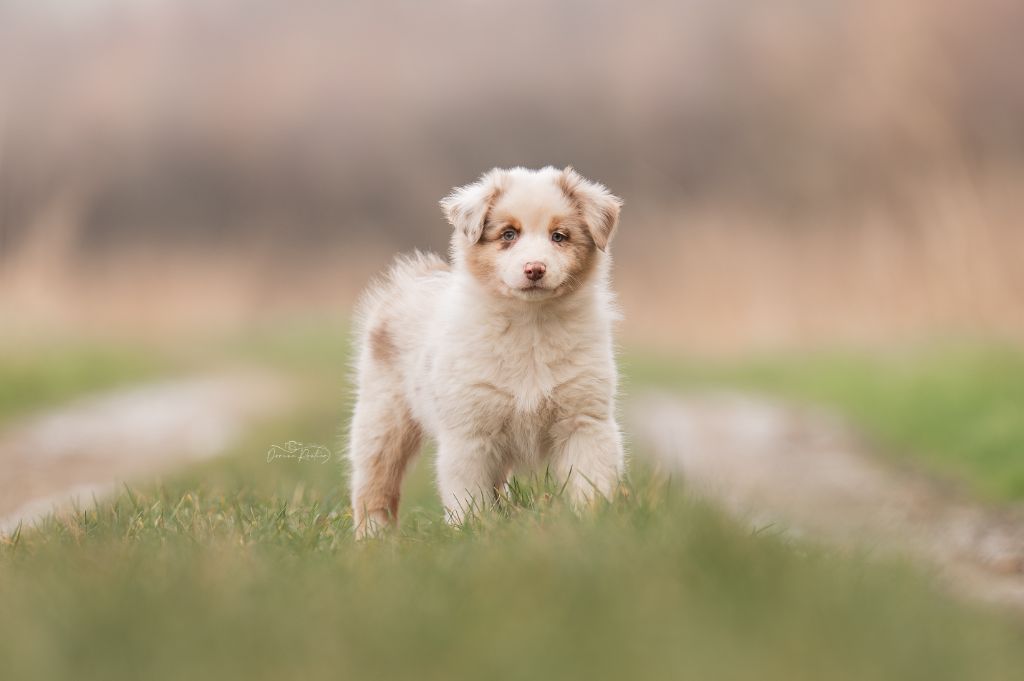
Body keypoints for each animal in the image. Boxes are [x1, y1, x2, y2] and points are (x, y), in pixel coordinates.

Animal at [348, 165, 626, 536]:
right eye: (508, 234)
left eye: (559, 236)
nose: (535, 268)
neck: (530, 326)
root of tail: (413, 279)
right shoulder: (470, 433)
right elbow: (470, 499)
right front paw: (474, 533)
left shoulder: (584, 421)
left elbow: (590, 482)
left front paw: (591, 525)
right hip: (382, 418)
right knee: (373, 482)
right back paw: (372, 536)